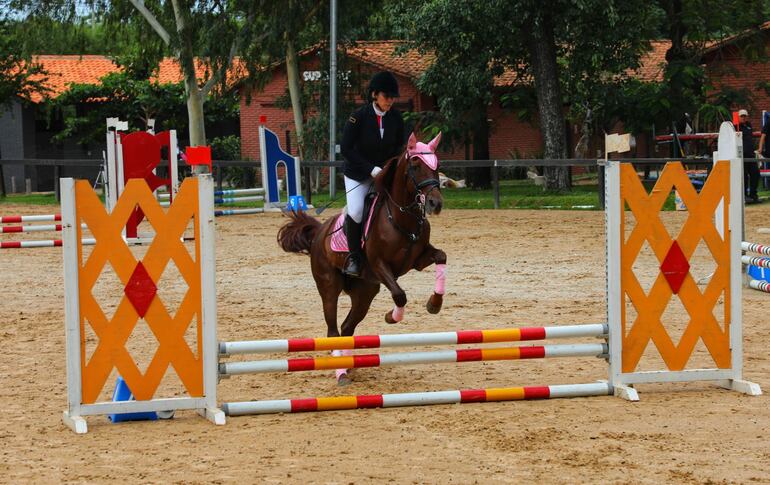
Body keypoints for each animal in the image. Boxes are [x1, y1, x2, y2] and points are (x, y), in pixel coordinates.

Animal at [276, 131, 448, 382]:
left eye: (437, 166)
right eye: (416, 166)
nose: (435, 203)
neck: (401, 216)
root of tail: (319, 232)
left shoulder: (417, 260)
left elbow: (442, 257)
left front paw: (434, 304)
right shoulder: (379, 265)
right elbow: (400, 295)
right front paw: (391, 317)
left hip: (364, 292)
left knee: (347, 327)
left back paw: (348, 365)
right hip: (330, 287)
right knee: (332, 330)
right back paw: (340, 372)